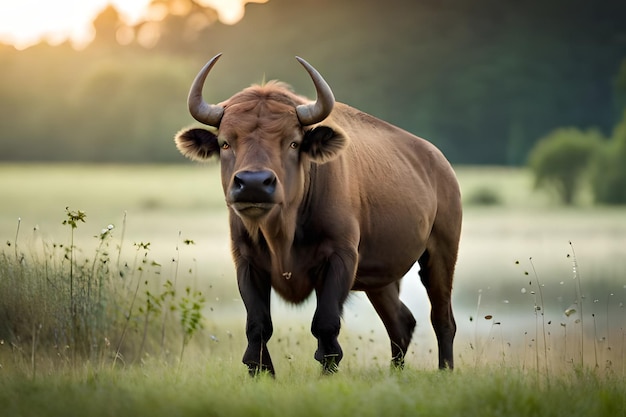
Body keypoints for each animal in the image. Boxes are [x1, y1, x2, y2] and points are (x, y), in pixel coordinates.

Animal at [173, 53, 460, 376]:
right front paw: (262, 373)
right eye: (225, 142)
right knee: (400, 321)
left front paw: (326, 373)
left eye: (293, 142)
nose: (254, 183)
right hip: (382, 279)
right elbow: (258, 325)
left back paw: (445, 371)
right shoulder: (246, 261)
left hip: (440, 253)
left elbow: (325, 324)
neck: (281, 234)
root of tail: (440, 164)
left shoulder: (340, 257)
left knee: (442, 318)